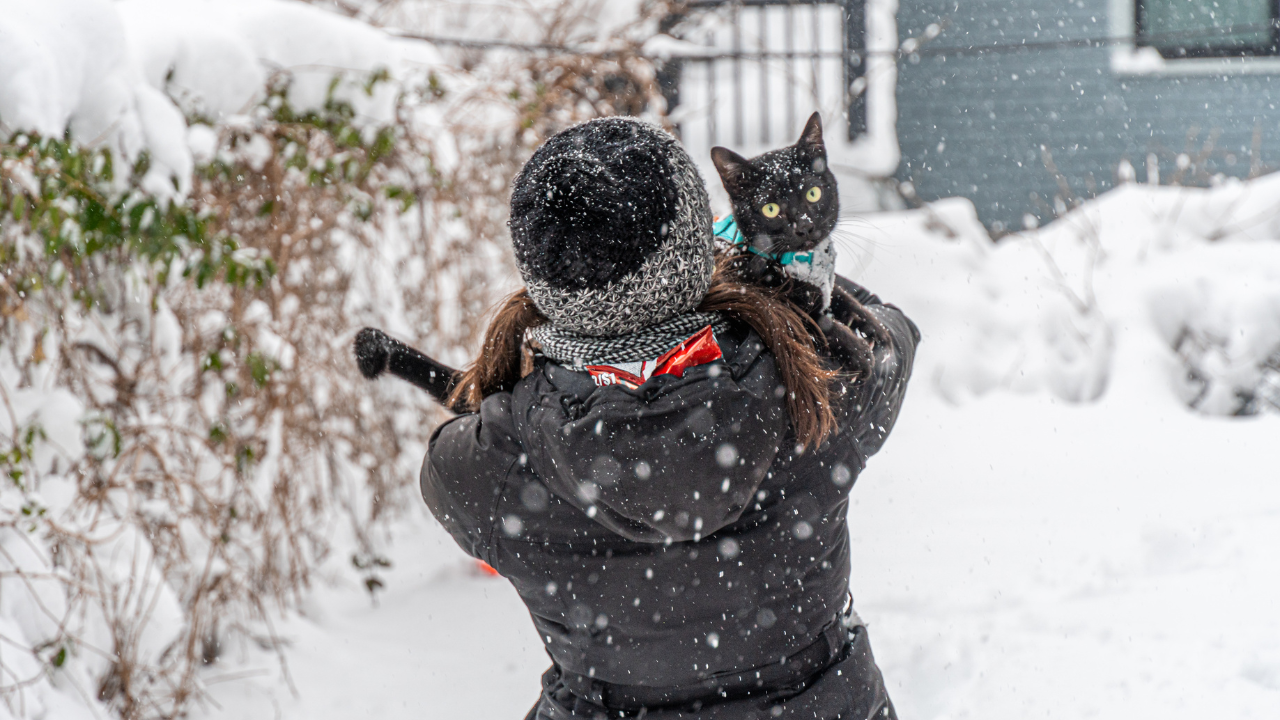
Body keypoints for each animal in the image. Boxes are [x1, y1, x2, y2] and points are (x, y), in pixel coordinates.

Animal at [711, 113, 890, 368]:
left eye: (812, 193)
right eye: (771, 209)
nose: (804, 227)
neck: (799, 263)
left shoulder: (824, 284)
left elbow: (839, 294)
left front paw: (872, 324)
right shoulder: (766, 304)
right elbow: (812, 321)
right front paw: (859, 351)